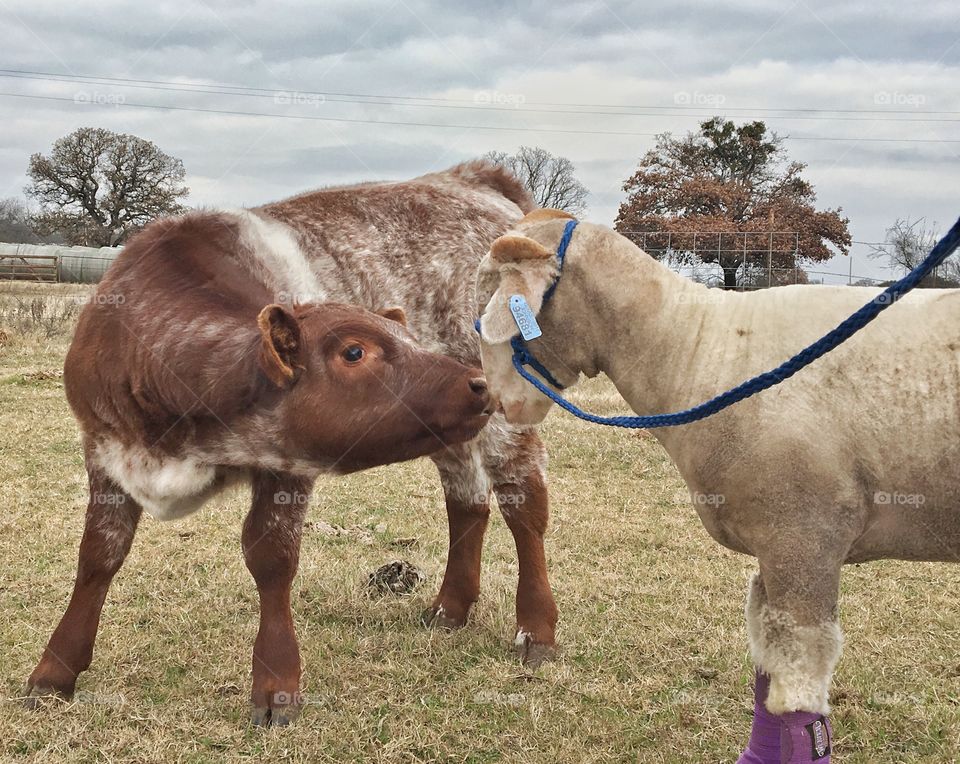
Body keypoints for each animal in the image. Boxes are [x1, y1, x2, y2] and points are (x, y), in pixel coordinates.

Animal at [476, 206, 956, 760]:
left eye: (490, 298)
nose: (493, 399)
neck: (696, 346)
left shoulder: (804, 539)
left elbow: (798, 697)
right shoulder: (772, 547)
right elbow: (767, 672)